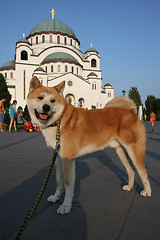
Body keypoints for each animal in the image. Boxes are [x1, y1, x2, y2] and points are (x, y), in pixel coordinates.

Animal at [27, 76, 151, 214]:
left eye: (52, 100)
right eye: (40, 98)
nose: (46, 107)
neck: (59, 121)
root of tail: (132, 112)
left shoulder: (68, 159)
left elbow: (67, 184)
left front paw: (66, 206)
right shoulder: (58, 158)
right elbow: (59, 181)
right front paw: (56, 197)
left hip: (134, 151)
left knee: (143, 172)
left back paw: (147, 192)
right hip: (121, 151)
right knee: (131, 171)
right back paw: (129, 187)